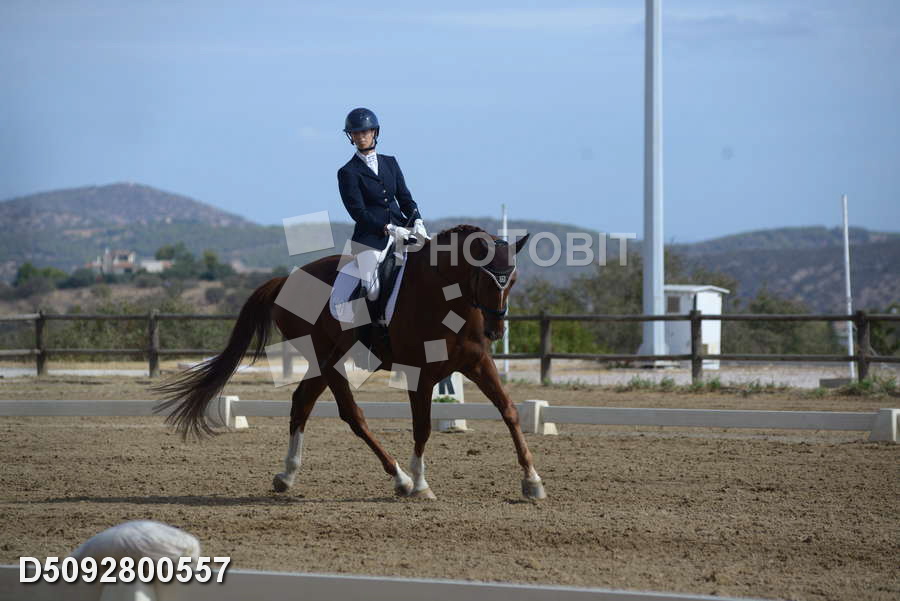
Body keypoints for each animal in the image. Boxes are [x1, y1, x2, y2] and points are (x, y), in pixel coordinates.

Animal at [151, 225, 546, 500]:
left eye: (512, 279)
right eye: (486, 277)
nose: (496, 330)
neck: (445, 297)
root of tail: (286, 281)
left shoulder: (478, 364)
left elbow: (509, 411)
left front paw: (532, 481)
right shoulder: (420, 374)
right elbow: (422, 427)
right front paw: (421, 484)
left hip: (321, 362)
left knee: (302, 402)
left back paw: (287, 476)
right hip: (328, 359)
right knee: (351, 414)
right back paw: (401, 479)